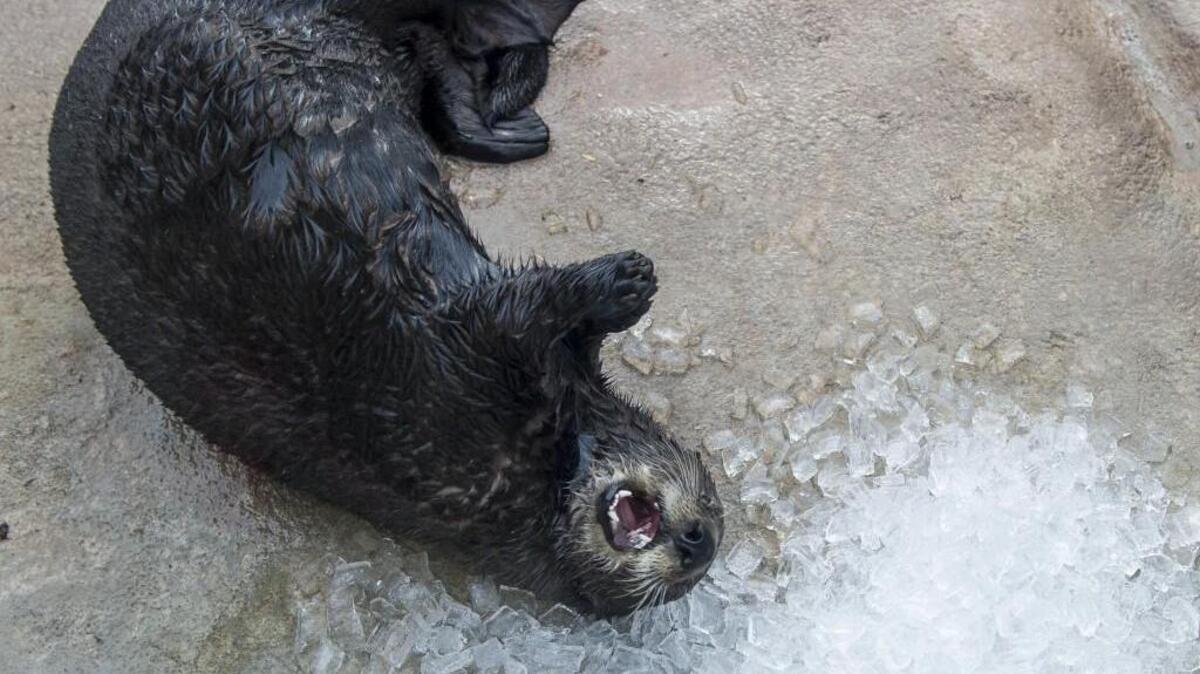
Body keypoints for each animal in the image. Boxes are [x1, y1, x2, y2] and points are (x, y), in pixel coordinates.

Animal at [49, 0, 723, 615]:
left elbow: (522, 311)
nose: (697, 540)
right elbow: (537, 313)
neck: (539, 467)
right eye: (714, 508)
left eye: (711, 527)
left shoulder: (469, 350)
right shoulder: (476, 347)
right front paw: (629, 280)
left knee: (433, 56)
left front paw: (618, 284)